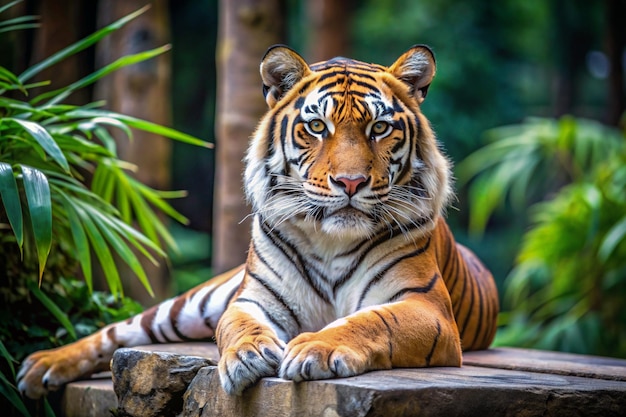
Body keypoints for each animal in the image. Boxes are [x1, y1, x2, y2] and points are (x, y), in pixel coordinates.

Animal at [17, 44, 498, 398]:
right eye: (317, 127)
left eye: (379, 129)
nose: (350, 182)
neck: (333, 241)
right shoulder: (252, 299)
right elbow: (238, 325)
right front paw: (248, 355)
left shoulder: (426, 308)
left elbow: (371, 321)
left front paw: (316, 347)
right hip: (194, 304)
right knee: (118, 333)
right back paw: (40, 366)